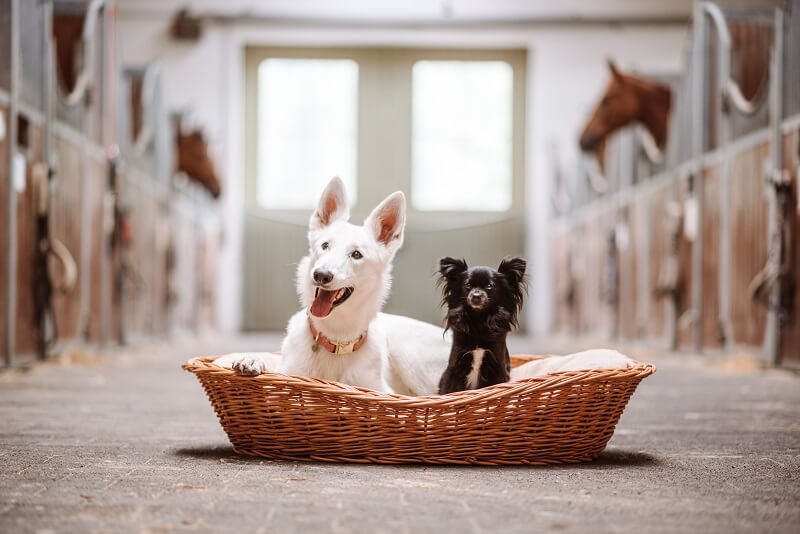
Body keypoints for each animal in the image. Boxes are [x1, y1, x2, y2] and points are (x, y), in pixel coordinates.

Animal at [216, 178, 454, 396]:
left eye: (356, 254)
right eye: (325, 245)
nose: (321, 275)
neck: (336, 339)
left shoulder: (382, 391)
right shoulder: (289, 370)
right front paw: (251, 359)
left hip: (406, 353)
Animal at [438, 258, 524, 396]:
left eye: (490, 286)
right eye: (467, 285)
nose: (476, 295)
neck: (479, 320)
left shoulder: (497, 368)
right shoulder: (454, 368)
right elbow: (448, 390)